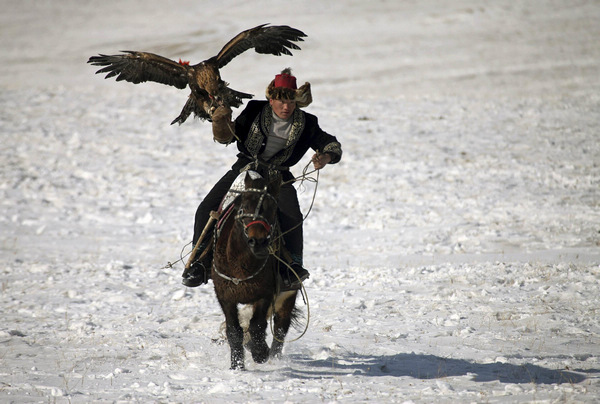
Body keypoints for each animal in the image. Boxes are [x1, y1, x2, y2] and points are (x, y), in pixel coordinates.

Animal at [211, 170, 300, 370]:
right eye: (244, 206)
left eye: (273, 208)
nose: (258, 242)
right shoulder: (225, 296)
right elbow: (234, 330)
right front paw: (237, 365)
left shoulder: (265, 294)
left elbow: (257, 326)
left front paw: (260, 353)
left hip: (288, 295)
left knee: (281, 326)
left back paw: (273, 357)